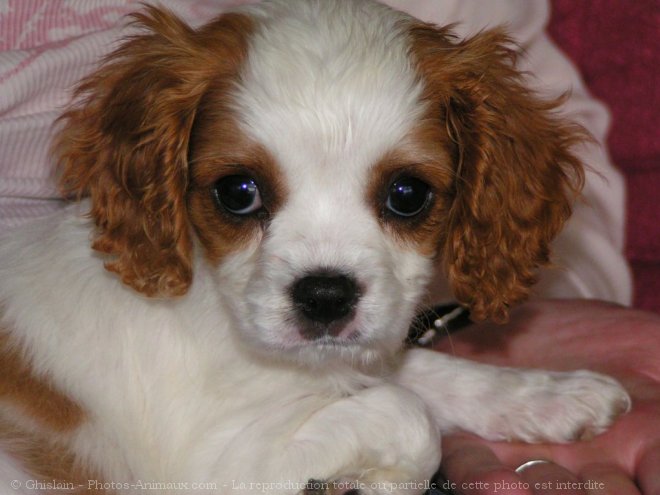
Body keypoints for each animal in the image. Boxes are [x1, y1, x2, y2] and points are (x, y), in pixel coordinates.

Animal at [0, 0, 628, 494]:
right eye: (238, 192)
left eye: (407, 195)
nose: (325, 295)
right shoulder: (210, 468)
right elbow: (408, 410)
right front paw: (389, 479)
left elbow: (426, 373)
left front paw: (548, 394)